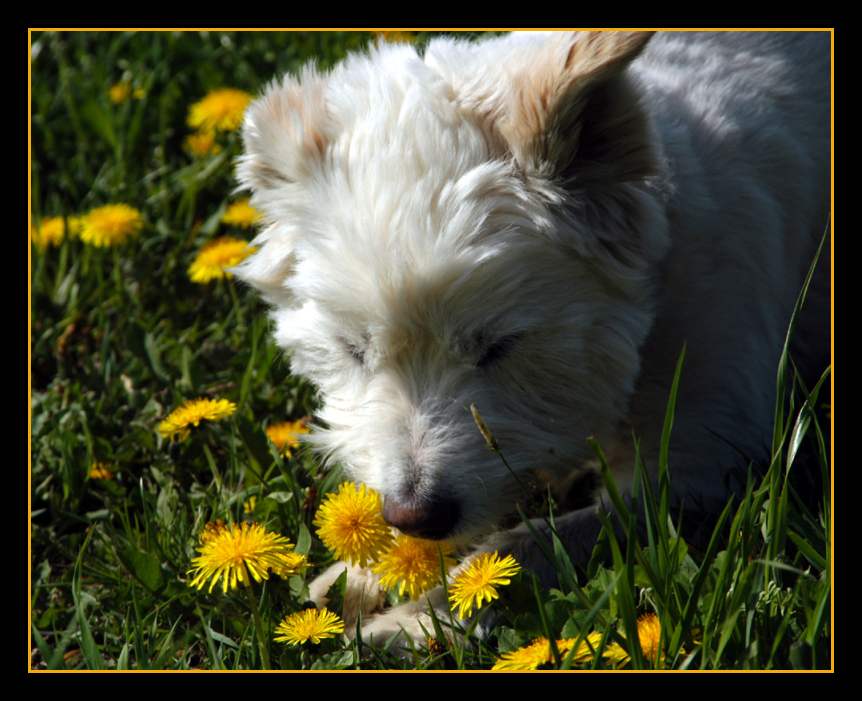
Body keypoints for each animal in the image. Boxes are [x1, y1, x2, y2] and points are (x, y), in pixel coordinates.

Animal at [233, 30, 832, 644]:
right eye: (353, 349)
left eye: (498, 346)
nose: (415, 515)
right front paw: (360, 574)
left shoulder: (701, 468)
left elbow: (535, 542)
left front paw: (417, 617)